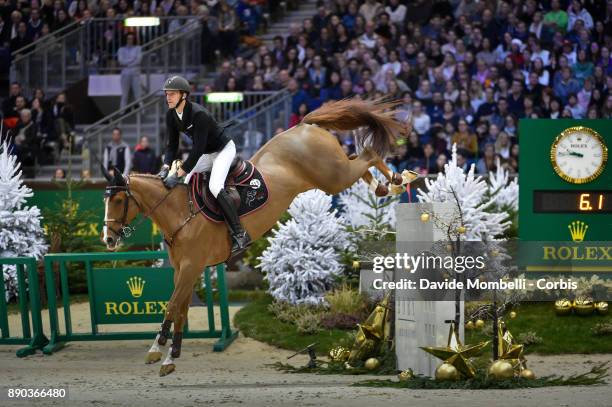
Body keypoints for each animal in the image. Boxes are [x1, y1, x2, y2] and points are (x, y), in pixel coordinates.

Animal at [101, 98, 416, 376]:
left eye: (117, 200)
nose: (108, 240)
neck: (179, 211)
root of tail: (304, 125)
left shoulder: (191, 266)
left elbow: (172, 305)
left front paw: (157, 350)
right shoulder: (184, 269)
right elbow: (180, 308)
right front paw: (170, 357)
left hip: (332, 176)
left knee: (368, 154)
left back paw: (398, 181)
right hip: (333, 173)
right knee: (360, 159)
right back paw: (383, 187)